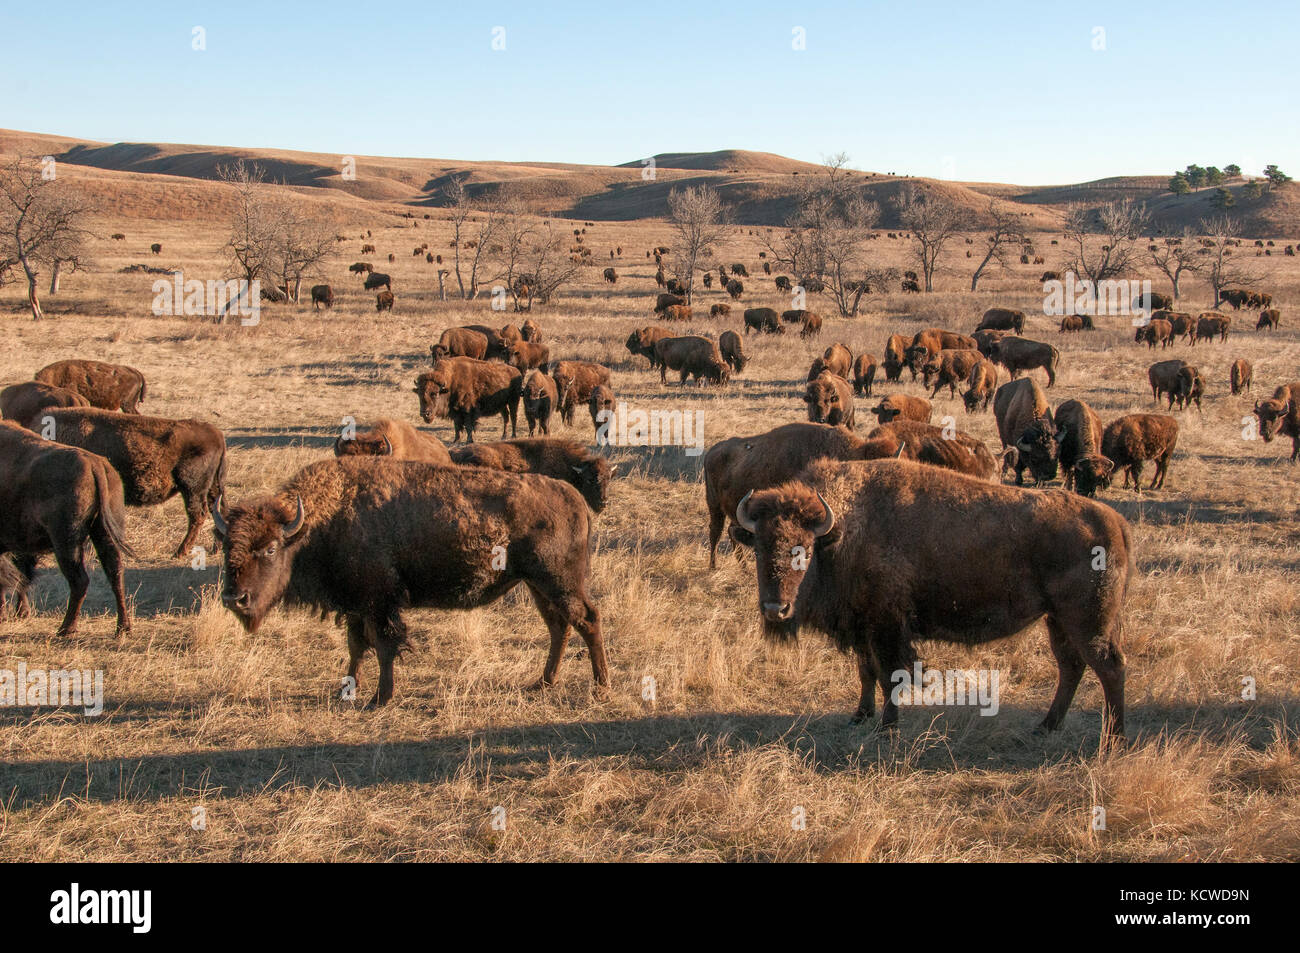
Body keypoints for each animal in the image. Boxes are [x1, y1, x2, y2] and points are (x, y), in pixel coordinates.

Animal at [0, 421, 133, 634]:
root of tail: (95, 464)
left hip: (66, 541)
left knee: (79, 580)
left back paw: (66, 629)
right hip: (104, 533)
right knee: (115, 573)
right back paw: (122, 628)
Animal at [30, 408, 228, 556]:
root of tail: (217, 434)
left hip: (192, 488)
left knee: (198, 514)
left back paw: (180, 552)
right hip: (210, 487)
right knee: (217, 509)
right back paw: (216, 548)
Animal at [210, 460, 605, 707]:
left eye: (270, 548)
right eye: (226, 544)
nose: (234, 598)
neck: (317, 523)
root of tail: (574, 498)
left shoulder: (379, 603)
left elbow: (385, 646)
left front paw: (379, 699)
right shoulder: (357, 606)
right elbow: (357, 647)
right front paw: (347, 690)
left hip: (559, 582)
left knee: (587, 620)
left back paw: (600, 686)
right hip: (538, 586)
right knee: (559, 627)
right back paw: (543, 682)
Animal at [733, 457, 1128, 748]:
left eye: (803, 550)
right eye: (759, 548)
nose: (775, 610)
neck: (842, 531)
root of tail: (1115, 522)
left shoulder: (887, 628)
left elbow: (890, 676)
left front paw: (887, 728)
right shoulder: (863, 627)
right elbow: (866, 672)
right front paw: (859, 716)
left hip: (1088, 622)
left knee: (1109, 667)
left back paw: (1113, 740)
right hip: (1058, 620)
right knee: (1071, 667)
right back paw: (1046, 726)